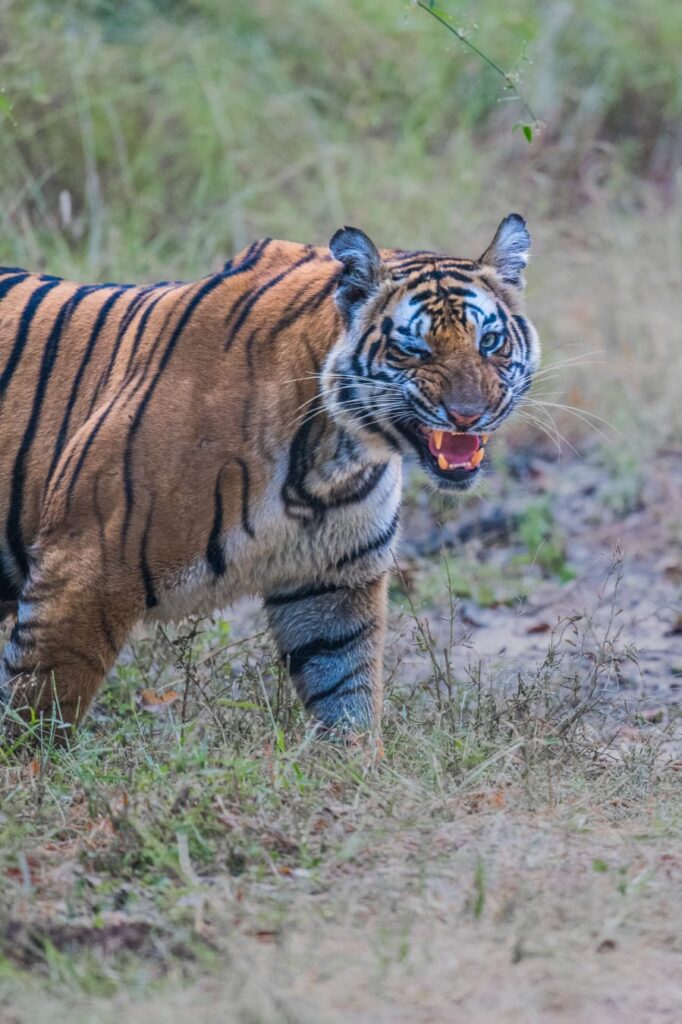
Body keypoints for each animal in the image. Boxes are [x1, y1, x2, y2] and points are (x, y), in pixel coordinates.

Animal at [1, 216, 536, 741]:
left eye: (489, 342)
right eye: (414, 349)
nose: (468, 415)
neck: (334, 457)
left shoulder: (333, 580)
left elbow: (348, 696)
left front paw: (354, 764)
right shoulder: (86, 564)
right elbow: (41, 710)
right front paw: (34, 763)